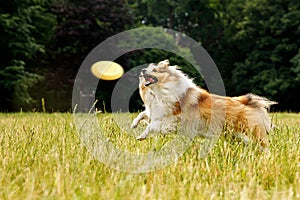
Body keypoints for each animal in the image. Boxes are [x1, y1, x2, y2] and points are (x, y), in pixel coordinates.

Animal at [131, 59, 276, 148]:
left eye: (155, 70)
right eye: (148, 68)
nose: (142, 70)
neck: (160, 90)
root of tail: (245, 102)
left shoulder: (171, 118)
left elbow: (152, 126)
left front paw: (140, 137)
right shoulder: (156, 111)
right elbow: (143, 114)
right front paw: (134, 125)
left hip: (250, 132)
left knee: (263, 146)